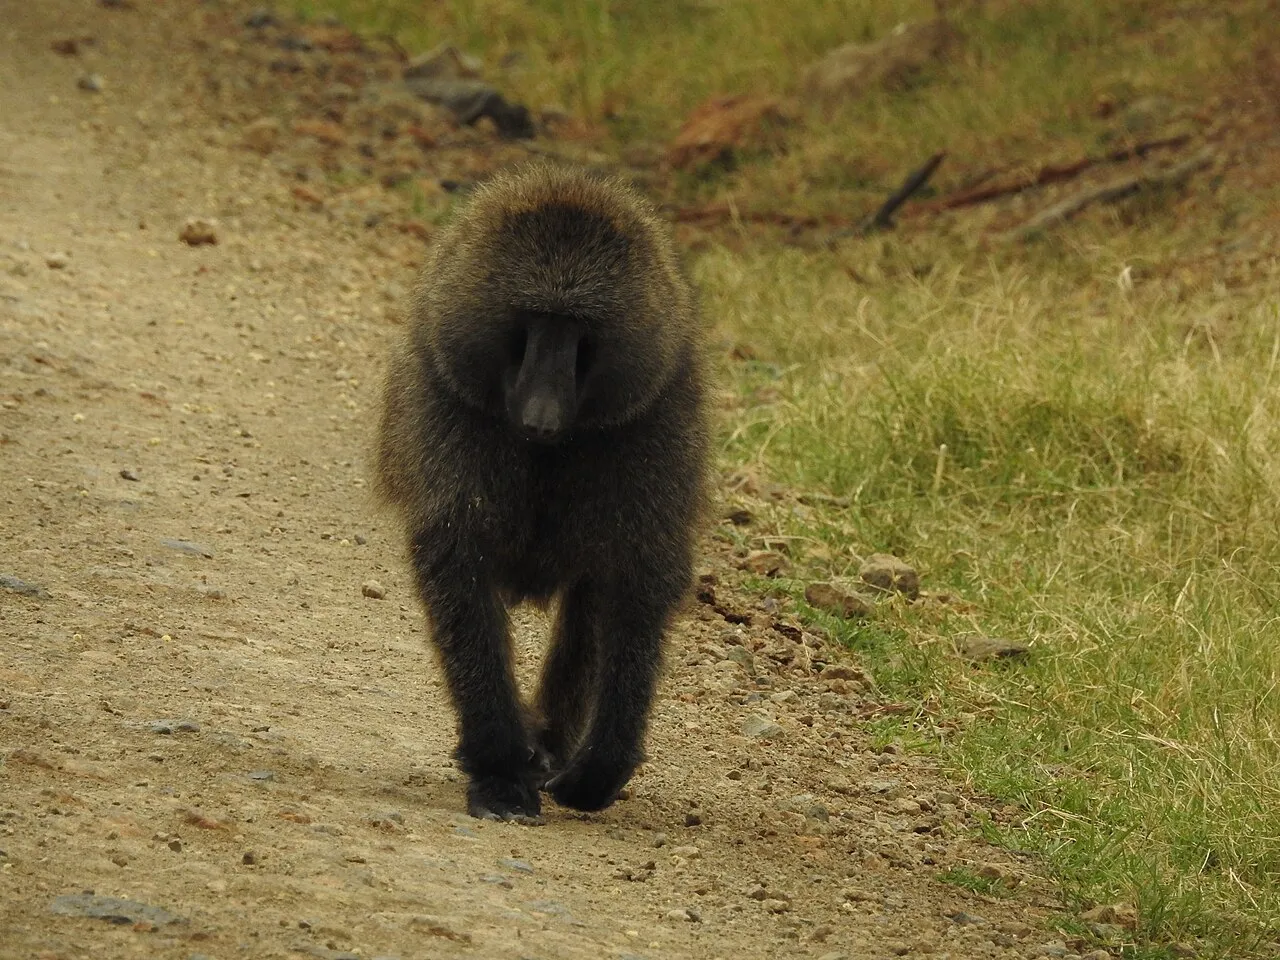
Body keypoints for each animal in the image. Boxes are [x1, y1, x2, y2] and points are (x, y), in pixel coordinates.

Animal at [374, 163, 710, 822]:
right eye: (532, 322)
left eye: (578, 333)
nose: (540, 419)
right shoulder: (448, 414)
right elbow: (459, 563)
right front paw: (502, 767)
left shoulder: (650, 428)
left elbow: (637, 581)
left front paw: (600, 766)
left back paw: (554, 741)